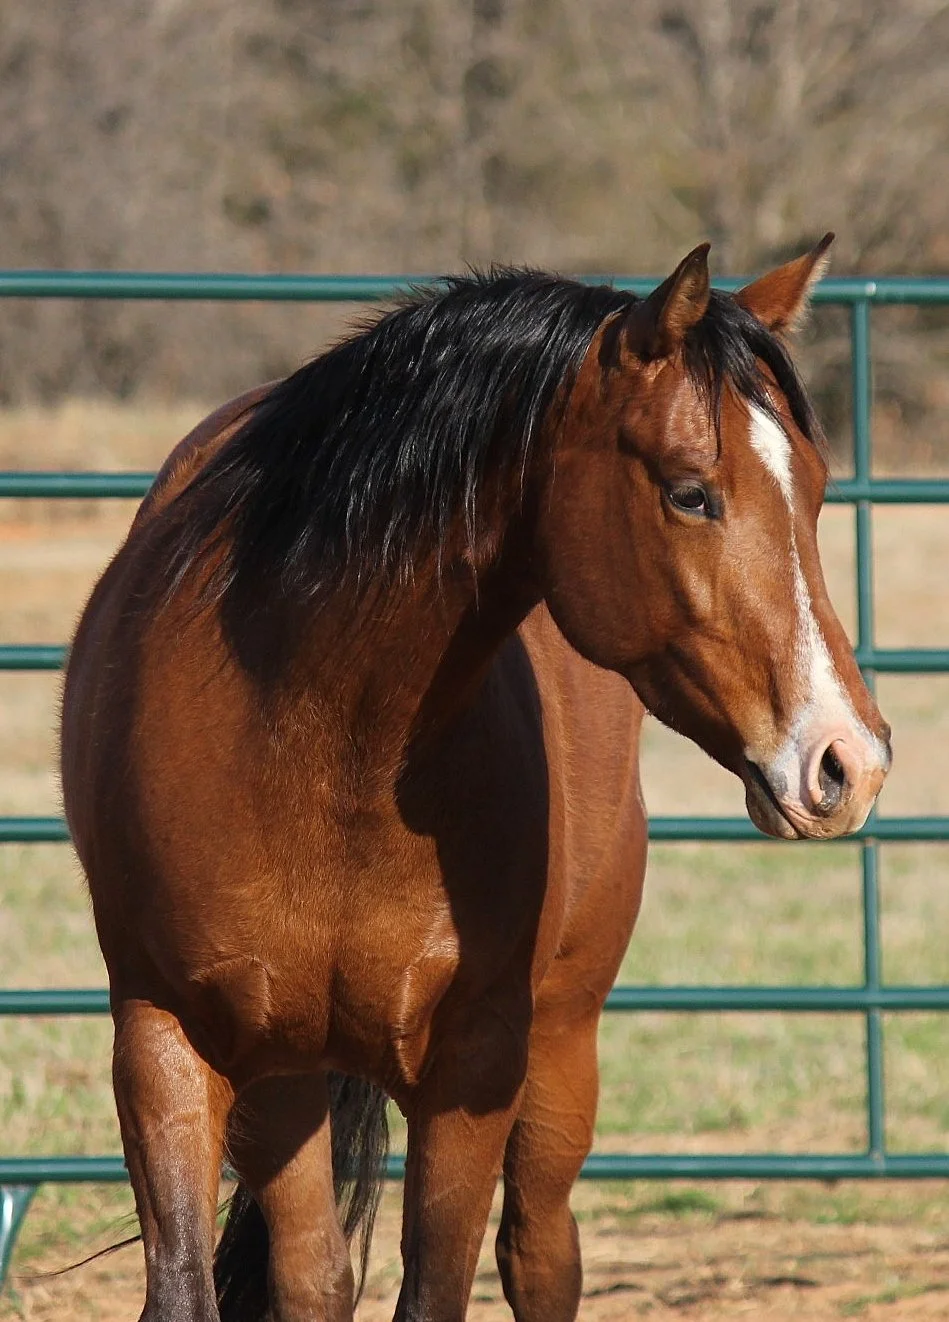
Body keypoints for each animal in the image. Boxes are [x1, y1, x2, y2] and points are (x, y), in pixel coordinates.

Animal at [60, 236, 891, 1322]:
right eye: (689, 491)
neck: (317, 728)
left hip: (561, 1043)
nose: (848, 759)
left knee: (538, 1250)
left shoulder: (475, 1063)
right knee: (314, 1272)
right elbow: (190, 1285)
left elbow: (438, 1282)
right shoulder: (165, 1042)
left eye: (819, 490)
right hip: (282, 1076)